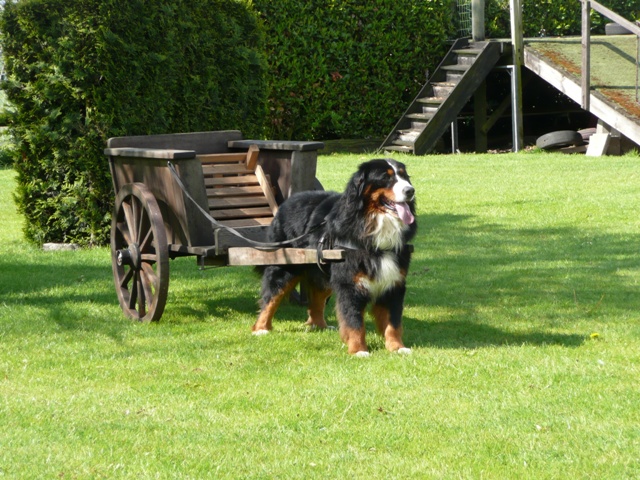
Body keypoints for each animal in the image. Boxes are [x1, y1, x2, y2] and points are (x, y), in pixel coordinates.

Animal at [250, 158, 416, 356]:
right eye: (385, 178)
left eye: (404, 176)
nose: (410, 190)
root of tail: (287, 203)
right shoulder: (350, 284)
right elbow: (354, 322)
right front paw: (358, 350)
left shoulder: (393, 283)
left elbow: (393, 323)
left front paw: (398, 348)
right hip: (284, 269)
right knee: (271, 298)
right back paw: (260, 328)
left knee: (316, 299)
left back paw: (319, 325)